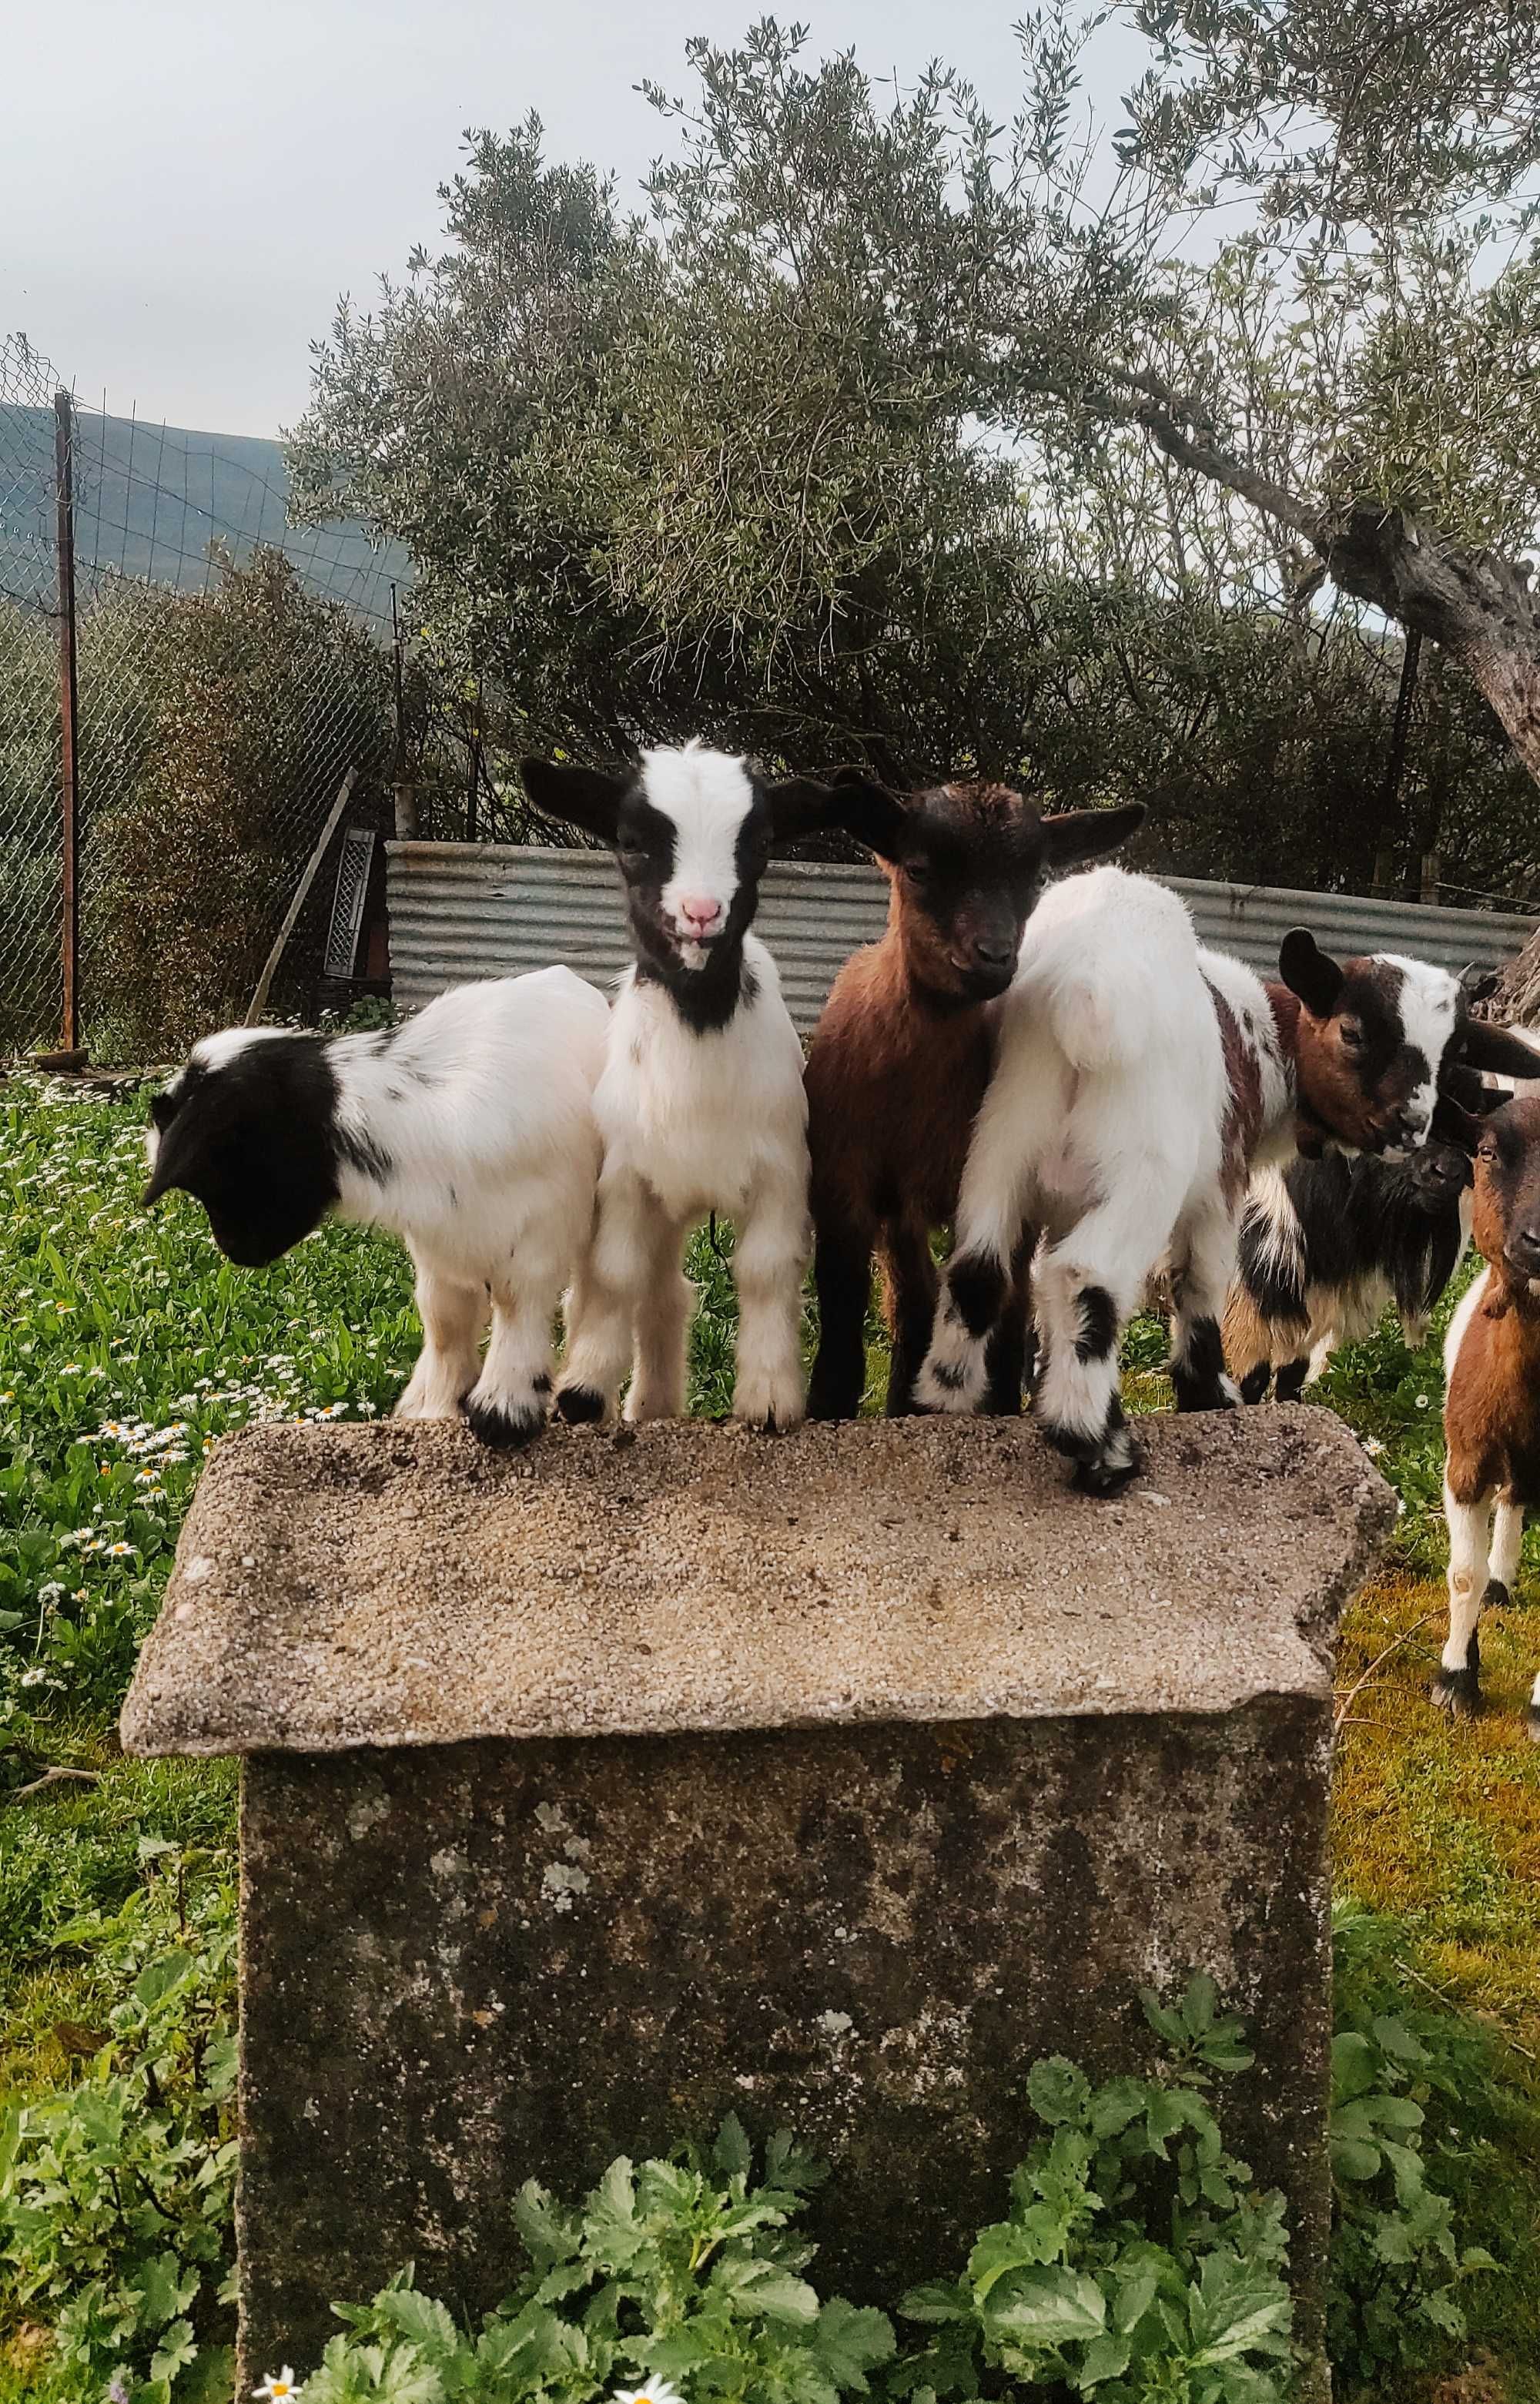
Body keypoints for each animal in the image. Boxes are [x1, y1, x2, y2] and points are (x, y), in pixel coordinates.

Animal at [141, 961, 603, 1442]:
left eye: (218, 1161)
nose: (234, 1251)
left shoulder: (537, 1231)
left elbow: (516, 1304)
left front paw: (504, 1412)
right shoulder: (438, 1248)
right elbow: (444, 1320)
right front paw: (434, 1408)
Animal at [526, 740, 841, 1432]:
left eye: (761, 842)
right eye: (631, 841)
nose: (701, 913)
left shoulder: (782, 1171)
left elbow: (765, 1271)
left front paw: (769, 1398)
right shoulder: (625, 1176)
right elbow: (616, 1275)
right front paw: (583, 1392)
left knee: (666, 1294)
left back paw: (655, 1405)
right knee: (634, 1288)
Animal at [807, 778, 1143, 1413]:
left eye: (1037, 877)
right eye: (917, 868)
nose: (993, 955)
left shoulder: (997, 1185)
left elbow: (996, 1304)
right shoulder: (846, 1182)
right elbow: (843, 1310)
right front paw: (829, 1408)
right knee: (911, 1304)